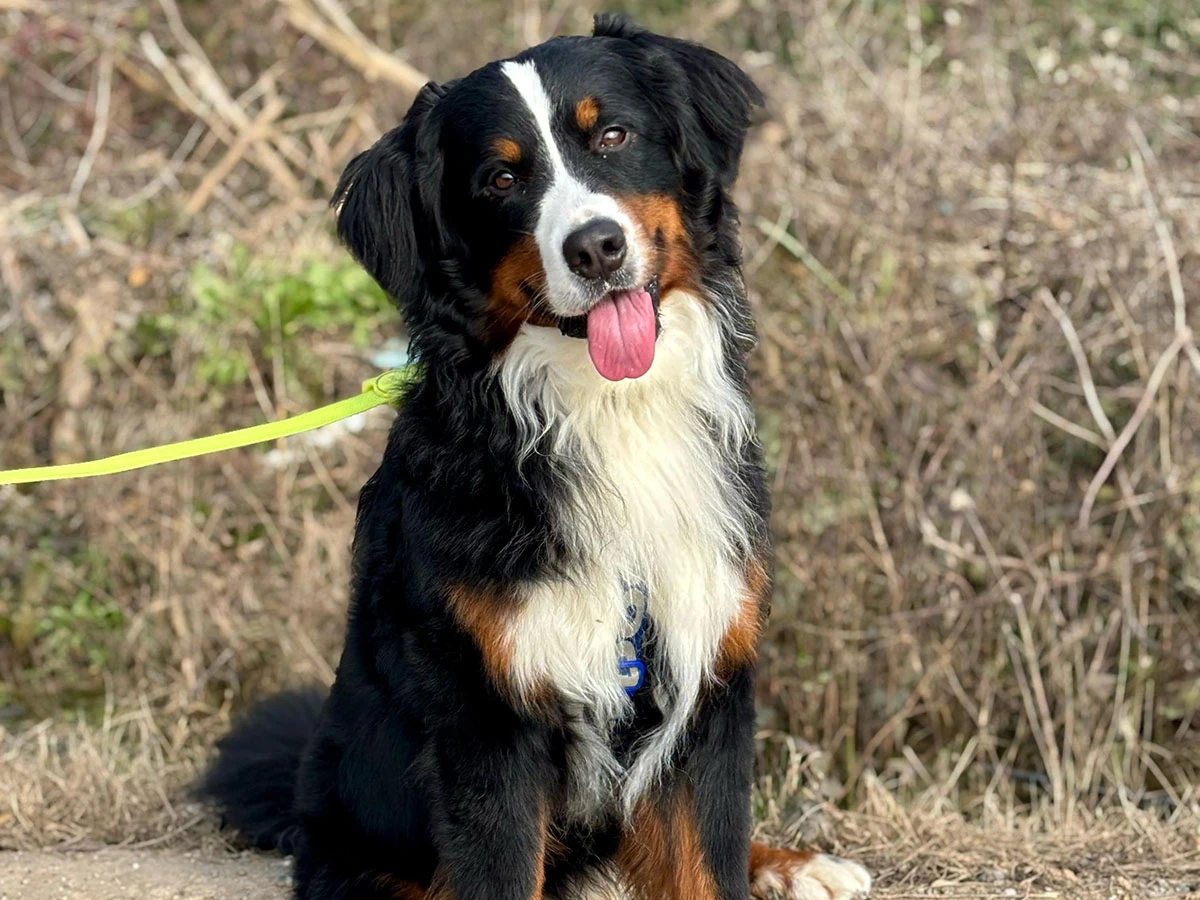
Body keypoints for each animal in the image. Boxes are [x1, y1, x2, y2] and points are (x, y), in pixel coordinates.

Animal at [196, 14, 873, 900]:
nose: (595, 248)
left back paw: (798, 866)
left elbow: (708, 862)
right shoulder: (488, 716)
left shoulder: (707, 678)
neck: (611, 410)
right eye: (500, 179)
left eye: (613, 135)